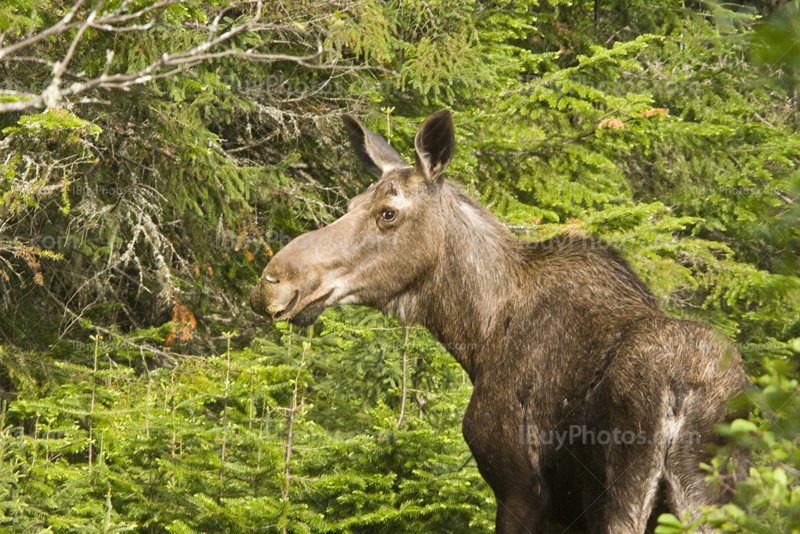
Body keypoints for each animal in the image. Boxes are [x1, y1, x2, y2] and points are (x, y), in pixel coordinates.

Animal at [252, 110, 752, 534]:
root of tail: (681, 394)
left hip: (623, 491)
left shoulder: (519, 487)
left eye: (387, 212)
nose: (273, 284)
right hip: (712, 498)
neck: (477, 333)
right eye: (353, 202)